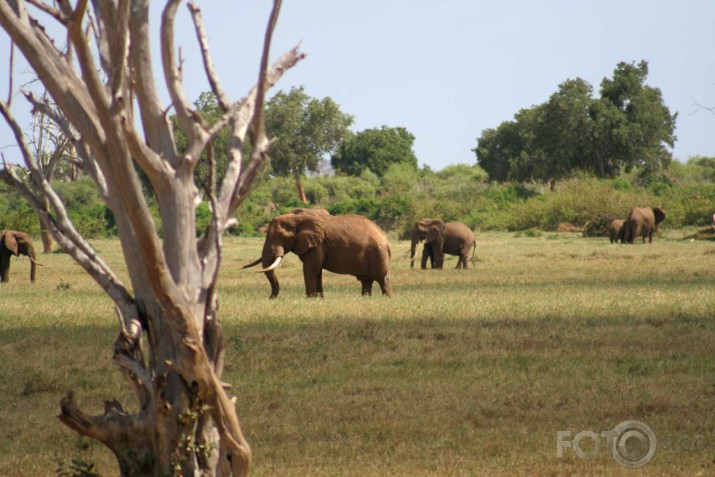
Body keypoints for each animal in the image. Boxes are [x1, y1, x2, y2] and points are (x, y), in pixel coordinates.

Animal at [243, 209, 394, 298]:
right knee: (366, 281)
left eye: (281, 236)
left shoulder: (318, 244)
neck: (296, 217)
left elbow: (311, 268)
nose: (270, 298)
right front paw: (319, 299)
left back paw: (386, 299)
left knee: (382, 279)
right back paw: (365, 298)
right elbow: (317, 270)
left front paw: (310, 299)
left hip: (376, 253)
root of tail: (385, 239)